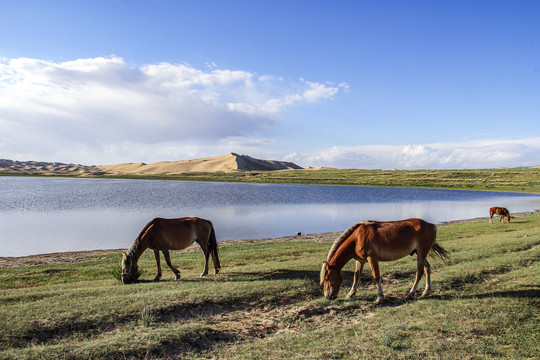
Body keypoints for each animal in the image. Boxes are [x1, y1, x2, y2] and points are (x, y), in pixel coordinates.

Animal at [318, 219, 450, 304]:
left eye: (327, 279)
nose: (328, 296)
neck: (357, 238)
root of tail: (431, 225)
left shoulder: (372, 258)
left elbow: (376, 276)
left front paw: (380, 298)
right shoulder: (360, 260)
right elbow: (356, 276)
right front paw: (351, 294)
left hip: (421, 253)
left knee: (419, 272)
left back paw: (411, 293)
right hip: (419, 253)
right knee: (427, 268)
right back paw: (426, 291)